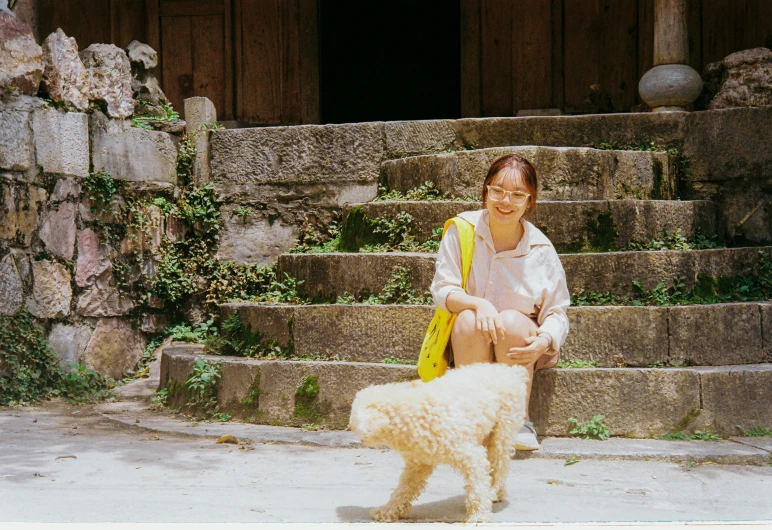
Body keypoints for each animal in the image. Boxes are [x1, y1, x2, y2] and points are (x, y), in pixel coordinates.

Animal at [350, 360, 532, 520]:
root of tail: (511, 371)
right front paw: (388, 510)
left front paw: (479, 515)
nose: (355, 433)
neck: (414, 415)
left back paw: (493, 492)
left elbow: (477, 486)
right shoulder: (418, 464)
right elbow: (404, 488)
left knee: (499, 466)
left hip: (501, 434)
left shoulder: (471, 456)